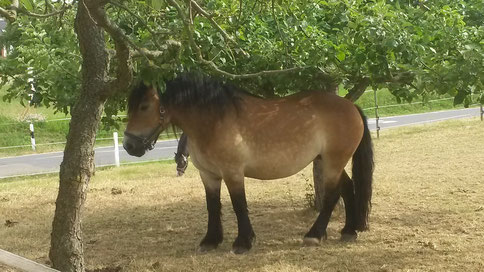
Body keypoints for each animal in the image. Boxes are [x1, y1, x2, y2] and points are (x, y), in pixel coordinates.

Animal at [123, 73, 372, 254]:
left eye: (144, 106)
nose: (128, 145)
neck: (214, 121)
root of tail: (351, 107)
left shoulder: (233, 173)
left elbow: (238, 205)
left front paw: (243, 242)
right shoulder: (209, 175)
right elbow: (212, 206)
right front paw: (210, 241)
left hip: (333, 162)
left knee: (332, 195)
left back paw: (314, 235)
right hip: (329, 161)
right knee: (347, 188)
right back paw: (349, 231)